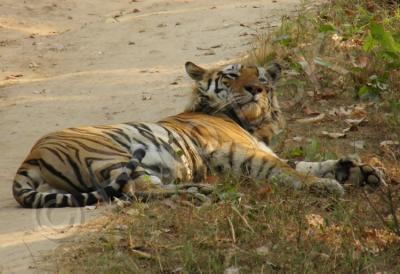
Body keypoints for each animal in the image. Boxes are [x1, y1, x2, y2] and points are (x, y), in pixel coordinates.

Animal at [11, 61, 382, 208]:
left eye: (260, 75)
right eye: (232, 75)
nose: (257, 89)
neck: (253, 125)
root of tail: (30, 156)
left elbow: (306, 163)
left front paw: (361, 170)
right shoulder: (239, 151)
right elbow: (287, 170)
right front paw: (326, 185)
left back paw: (203, 191)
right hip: (113, 154)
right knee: (138, 192)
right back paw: (201, 194)